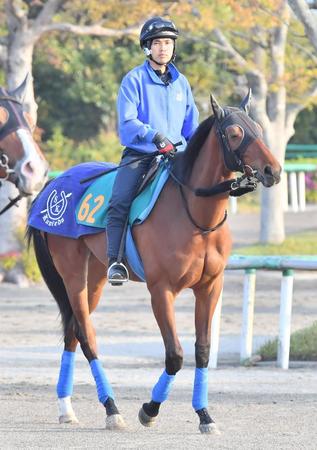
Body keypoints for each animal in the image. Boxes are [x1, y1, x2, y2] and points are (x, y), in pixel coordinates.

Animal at [26, 91, 278, 432]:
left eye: (259, 129)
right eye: (236, 133)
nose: (273, 170)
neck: (194, 215)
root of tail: (52, 188)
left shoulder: (210, 287)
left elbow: (202, 351)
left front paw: (205, 415)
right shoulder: (161, 291)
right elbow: (175, 355)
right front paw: (150, 409)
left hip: (96, 277)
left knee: (73, 332)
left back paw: (66, 408)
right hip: (73, 274)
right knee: (87, 336)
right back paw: (111, 408)